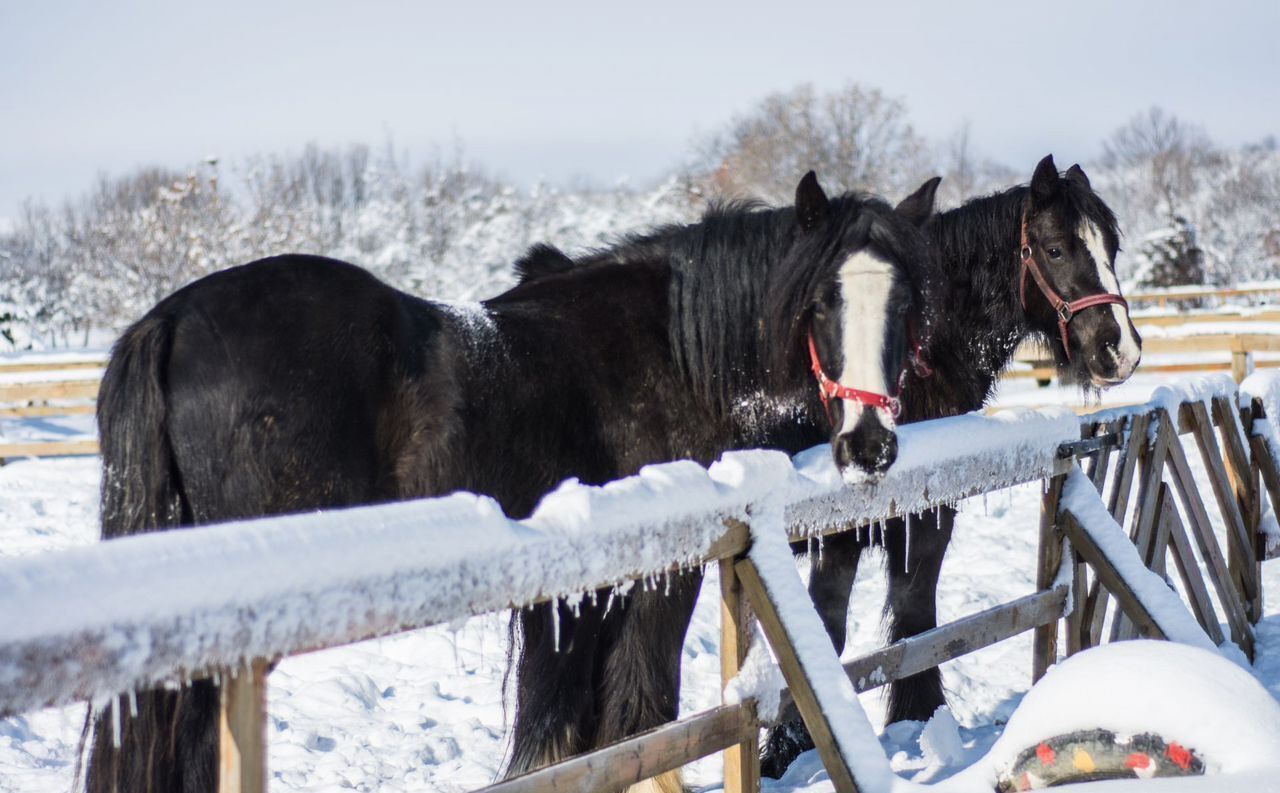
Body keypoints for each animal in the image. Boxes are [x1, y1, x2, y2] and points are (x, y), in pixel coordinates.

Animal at [85, 173, 936, 793]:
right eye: (819, 303)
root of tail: (170, 321)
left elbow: (578, 730)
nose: (869, 444)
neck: (669, 347)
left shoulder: (583, 594)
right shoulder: (655, 578)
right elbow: (632, 718)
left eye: (907, 303)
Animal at [757, 154, 1141, 772]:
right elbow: (846, 632)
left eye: (1112, 247)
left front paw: (915, 723)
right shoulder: (846, 535)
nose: (1119, 350)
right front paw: (786, 753)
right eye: (1056, 249)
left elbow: (913, 627)